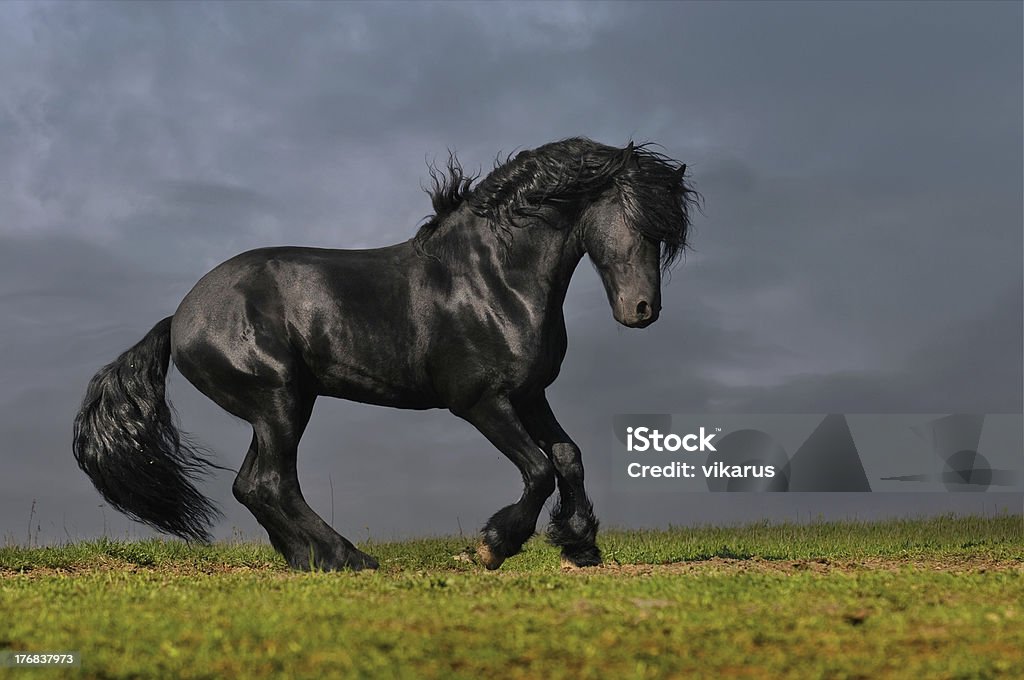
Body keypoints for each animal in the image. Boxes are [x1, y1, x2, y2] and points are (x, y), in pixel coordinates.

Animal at [70, 137, 696, 569]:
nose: (643, 310)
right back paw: (347, 557)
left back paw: (308, 560)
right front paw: (493, 546)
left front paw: (580, 544)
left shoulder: (529, 394)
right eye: (638, 222)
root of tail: (180, 317)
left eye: (666, 233)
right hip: (280, 402)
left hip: (273, 410)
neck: (493, 278)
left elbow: (568, 456)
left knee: (252, 485)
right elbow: (539, 469)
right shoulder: (479, 401)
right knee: (270, 483)